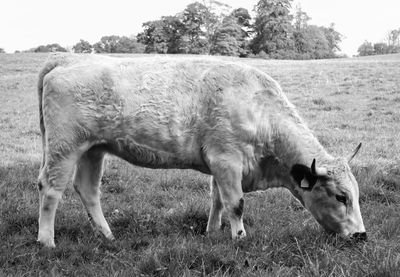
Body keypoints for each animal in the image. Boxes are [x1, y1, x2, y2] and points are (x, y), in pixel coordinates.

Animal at [36, 53, 366, 246]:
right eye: (341, 197)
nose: (361, 235)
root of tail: (65, 59)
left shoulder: (219, 165)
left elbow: (217, 200)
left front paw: (212, 231)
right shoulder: (226, 159)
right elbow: (236, 203)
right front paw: (240, 239)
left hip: (93, 149)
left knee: (88, 190)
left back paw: (107, 235)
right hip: (64, 146)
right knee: (51, 189)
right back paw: (46, 241)